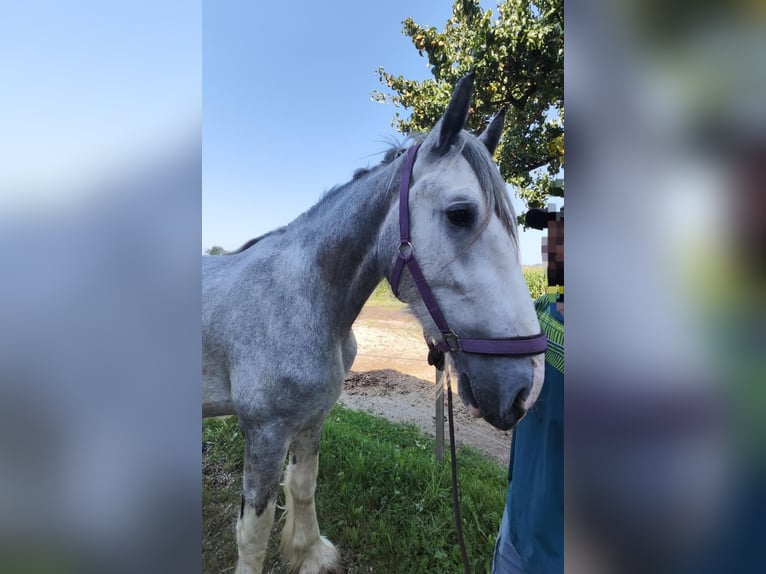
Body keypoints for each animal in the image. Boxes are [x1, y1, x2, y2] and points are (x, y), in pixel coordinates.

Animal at [202, 74, 546, 574]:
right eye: (460, 214)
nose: (525, 389)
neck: (303, 298)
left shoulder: (312, 418)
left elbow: (302, 485)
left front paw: (309, 554)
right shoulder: (264, 432)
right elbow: (254, 531)